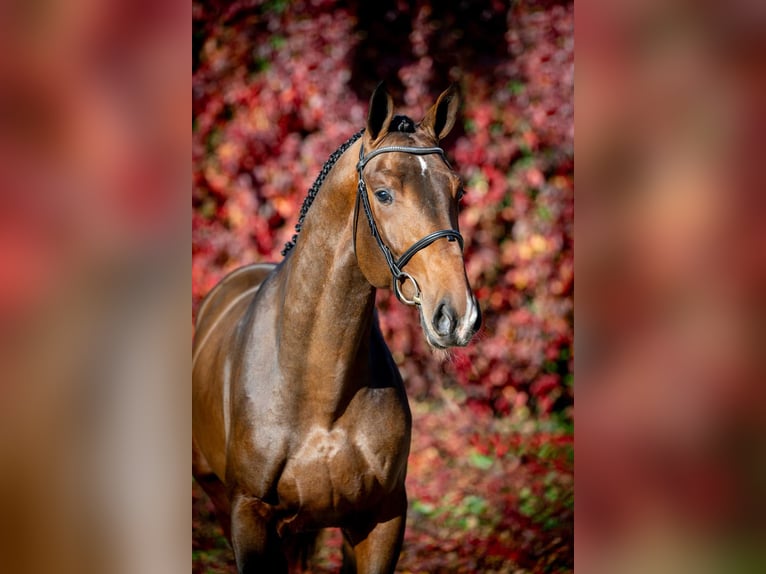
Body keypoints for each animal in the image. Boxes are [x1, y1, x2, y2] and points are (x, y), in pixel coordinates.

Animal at [192, 83, 480, 572]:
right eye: (383, 194)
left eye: (457, 191)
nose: (457, 315)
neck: (319, 391)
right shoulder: (248, 517)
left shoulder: (382, 518)